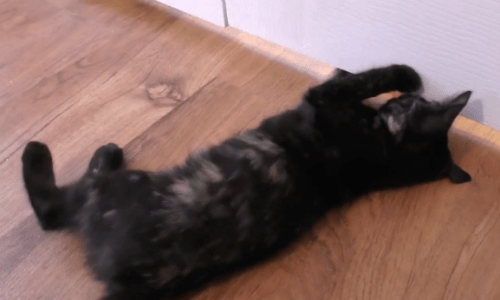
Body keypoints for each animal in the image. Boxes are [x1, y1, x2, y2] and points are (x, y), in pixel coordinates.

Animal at [21, 65, 470, 300]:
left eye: (413, 102)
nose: (408, 98)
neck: (383, 156)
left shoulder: (322, 99)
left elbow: (364, 78)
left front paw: (405, 74)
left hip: (108, 190)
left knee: (54, 208)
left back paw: (57, 151)